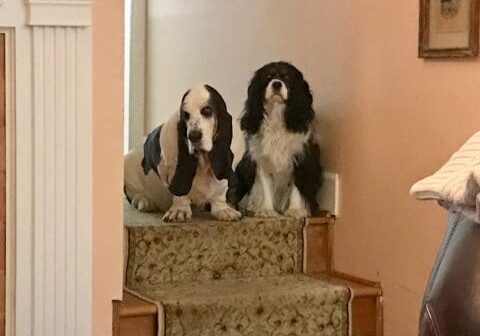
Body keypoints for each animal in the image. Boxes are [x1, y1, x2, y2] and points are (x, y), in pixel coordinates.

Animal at [124, 84, 244, 222]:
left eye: (207, 110)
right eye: (185, 115)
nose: (194, 136)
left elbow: (219, 191)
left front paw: (223, 209)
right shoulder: (171, 170)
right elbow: (180, 194)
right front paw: (179, 210)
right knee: (133, 195)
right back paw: (145, 201)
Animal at [232, 61, 322, 219]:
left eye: (286, 77)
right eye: (268, 77)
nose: (276, 84)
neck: (277, 116)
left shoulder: (301, 159)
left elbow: (296, 188)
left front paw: (295, 210)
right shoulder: (261, 160)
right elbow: (266, 187)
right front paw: (267, 210)